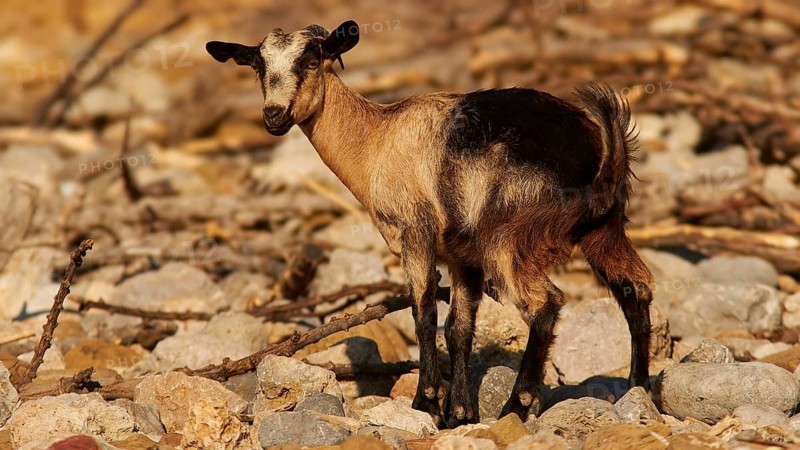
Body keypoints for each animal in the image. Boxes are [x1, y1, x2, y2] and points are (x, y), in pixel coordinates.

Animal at [206, 20, 654, 427]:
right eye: (258, 65)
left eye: (312, 59)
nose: (274, 115)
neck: (375, 139)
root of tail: (600, 153)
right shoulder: (462, 256)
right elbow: (458, 327)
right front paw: (460, 412)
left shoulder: (415, 234)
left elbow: (423, 313)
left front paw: (426, 402)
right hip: (604, 231)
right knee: (635, 288)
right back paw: (638, 389)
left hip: (508, 240)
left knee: (546, 303)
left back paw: (517, 405)